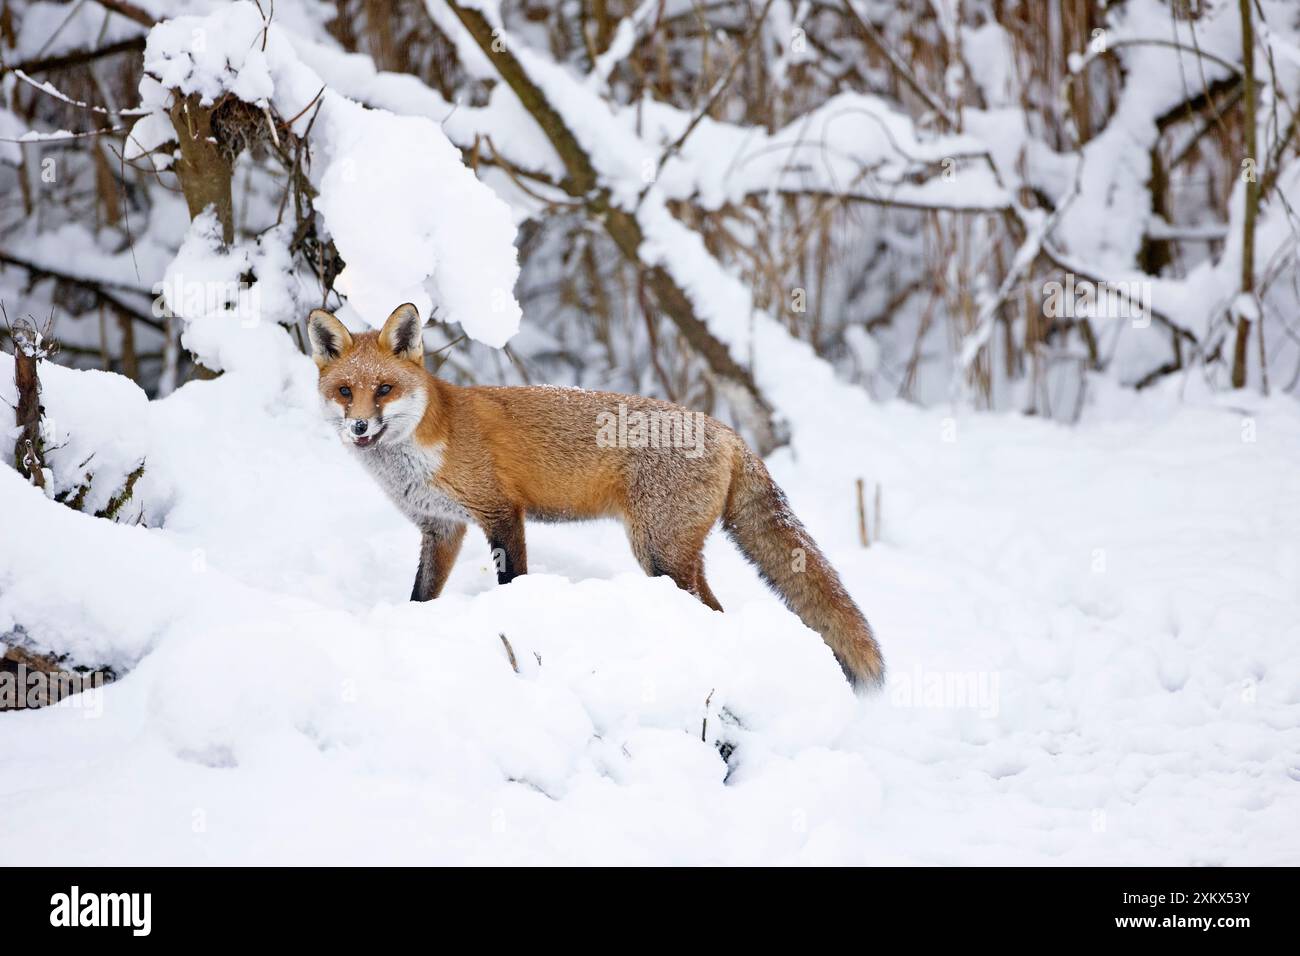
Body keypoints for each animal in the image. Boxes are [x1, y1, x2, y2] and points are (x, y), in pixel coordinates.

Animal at [308, 303, 884, 689]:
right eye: (346, 391)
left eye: (384, 389)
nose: (359, 427)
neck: (425, 447)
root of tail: (725, 429)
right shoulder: (442, 527)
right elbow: (421, 596)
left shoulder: (501, 511)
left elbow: (513, 581)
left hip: (658, 551)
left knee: (711, 609)